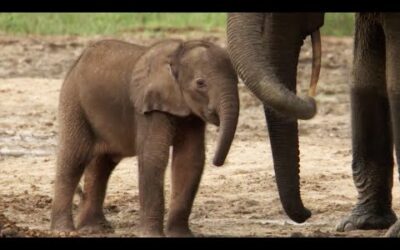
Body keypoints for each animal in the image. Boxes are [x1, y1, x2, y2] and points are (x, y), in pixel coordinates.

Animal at [49, 39, 238, 236]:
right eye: (200, 83)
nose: (218, 162)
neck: (177, 53)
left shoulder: (191, 113)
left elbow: (189, 159)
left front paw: (181, 235)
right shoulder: (148, 108)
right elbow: (153, 156)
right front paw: (152, 235)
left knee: (102, 165)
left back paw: (95, 228)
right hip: (74, 103)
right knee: (74, 159)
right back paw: (64, 230)